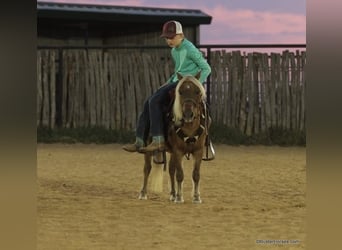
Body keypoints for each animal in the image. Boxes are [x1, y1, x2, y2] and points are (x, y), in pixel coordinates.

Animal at [139, 72, 208, 203]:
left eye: (197, 91)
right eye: (180, 92)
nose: (188, 114)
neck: (189, 126)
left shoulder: (198, 151)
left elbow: (196, 174)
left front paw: (196, 197)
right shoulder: (178, 151)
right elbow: (180, 174)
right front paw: (180, 197)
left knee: (171, 170)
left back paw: (172, 193)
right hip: (149, 147)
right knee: (147, 168)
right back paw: (143, 193)